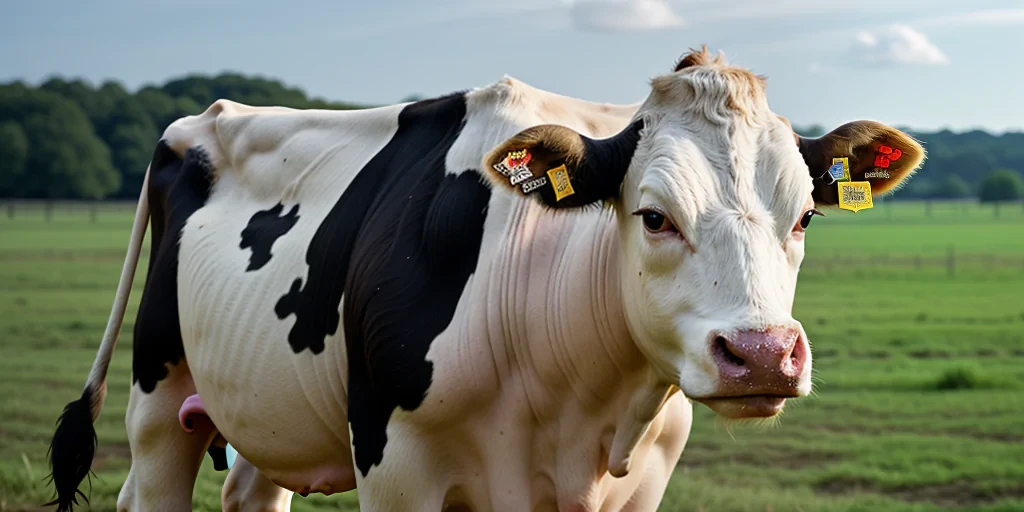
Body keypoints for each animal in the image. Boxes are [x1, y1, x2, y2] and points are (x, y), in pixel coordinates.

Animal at [46, 47, 924, 512]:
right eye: (653, 216)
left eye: (803, 218)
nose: (765, 354)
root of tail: (200, 119)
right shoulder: (396, 470)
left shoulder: (641, 486)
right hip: (158, 396)